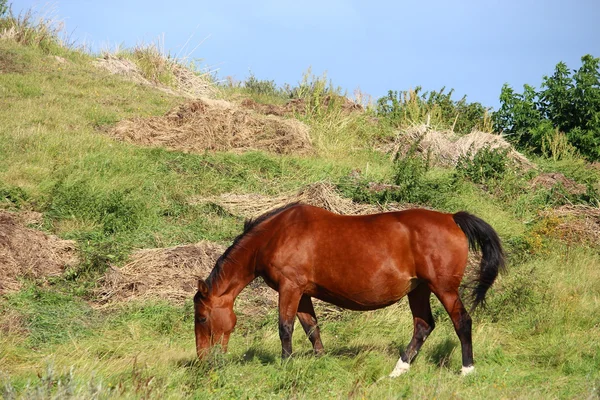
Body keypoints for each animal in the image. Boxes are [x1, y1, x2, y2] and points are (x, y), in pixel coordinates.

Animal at [195, 203, 504, 376]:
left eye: (201, 317)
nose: (204, 362)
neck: (277, 234)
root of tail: (451, 218)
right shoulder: (302, 292)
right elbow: (311, 328)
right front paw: (319, 361)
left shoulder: (290, 288)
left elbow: (285, 327)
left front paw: (285, 363)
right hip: (418, 290)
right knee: (423, 326)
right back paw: (399, 369)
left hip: (444, 288)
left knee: (462, 321)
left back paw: (467, 369)